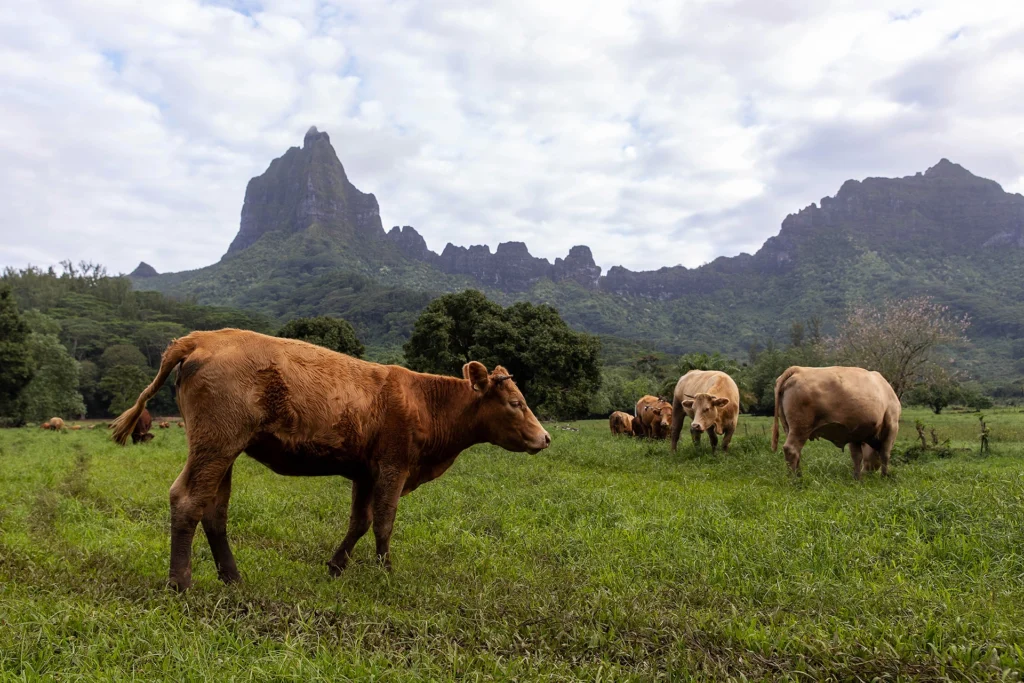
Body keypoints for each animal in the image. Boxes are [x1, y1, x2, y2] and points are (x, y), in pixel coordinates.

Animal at [110, 328, 551, 591]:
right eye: (516, 403)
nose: (545, 437)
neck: (424, 400)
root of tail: (203, 336)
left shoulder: (365, 472)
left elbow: (361, 521)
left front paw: (337, 566)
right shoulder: (393, 467)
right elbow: (384, 522)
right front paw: (386, 573)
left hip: (223, 450)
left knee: (214, 510)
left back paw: (232, 578)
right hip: (215, 445)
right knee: (187, 501)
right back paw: (180, 583)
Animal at [771, 366, 900, 479]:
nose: (866, 473)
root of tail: (798, 369)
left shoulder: (855, 433)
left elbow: (857, 456)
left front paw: (857, 479)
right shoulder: (892, 425)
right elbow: (885, 454)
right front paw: (884, 477)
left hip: (788, 427)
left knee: (797, 452)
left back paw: (799, 476)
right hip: (801, 426)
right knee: (791, 449)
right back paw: (794, 481)